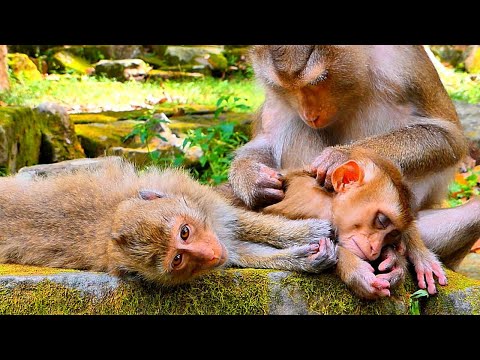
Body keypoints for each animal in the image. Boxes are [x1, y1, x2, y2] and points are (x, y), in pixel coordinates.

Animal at [0, 157, 338, 284]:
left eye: (184, 232)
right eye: (177, 259)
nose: (210, 254)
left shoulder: (197, 201)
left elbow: (238, 221)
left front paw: (307, 230)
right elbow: (240, 252)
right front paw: (304, 258)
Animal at [262, 148, 446, 296]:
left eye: (392, 234)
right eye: (382, 220)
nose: (374, 250)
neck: (329, 200)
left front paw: (393, 259)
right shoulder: (307, 201)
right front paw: (356, 270)